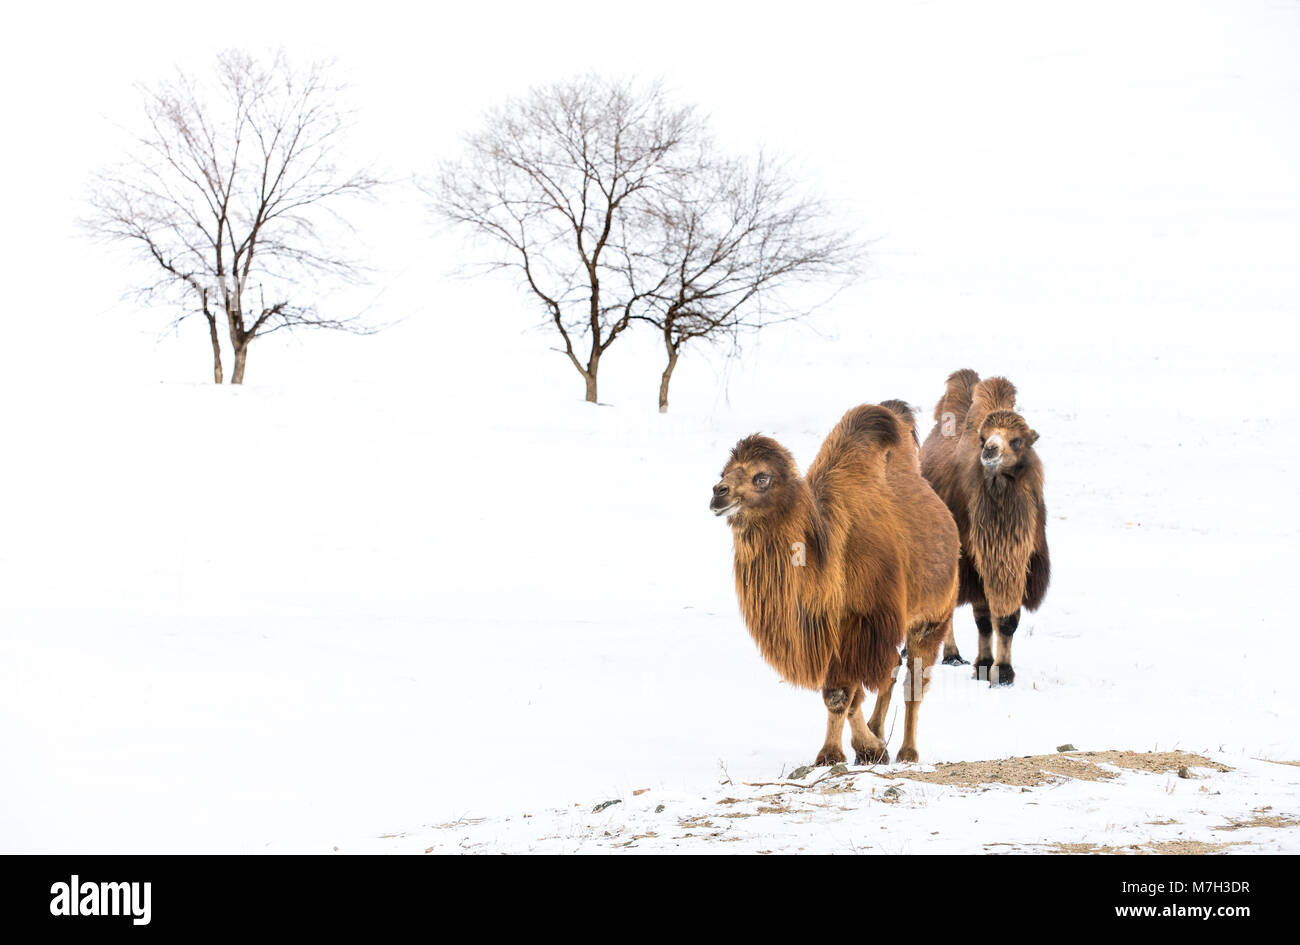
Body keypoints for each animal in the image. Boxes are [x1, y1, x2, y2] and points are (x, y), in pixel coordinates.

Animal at [711, 402, 959, 765]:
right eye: (724, 473)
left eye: (762, 477)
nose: (719, 494)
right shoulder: (832, 632)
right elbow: (846, 695)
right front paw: (859, 750)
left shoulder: (861, 625)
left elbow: (844, 693)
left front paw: (848, 752)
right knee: (891, 672)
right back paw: (880, 732)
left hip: (933, 617)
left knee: (913, 682)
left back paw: (908, 752)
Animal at [919, 370, 1050, 685]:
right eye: (982, 438)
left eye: (1017, 441)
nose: (990, 450)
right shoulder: (975, 561)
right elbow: (983, 619)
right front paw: (987, 665)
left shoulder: (1017, 561)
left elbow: (1007, 620)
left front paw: (1002, 672)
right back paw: (947, 655)